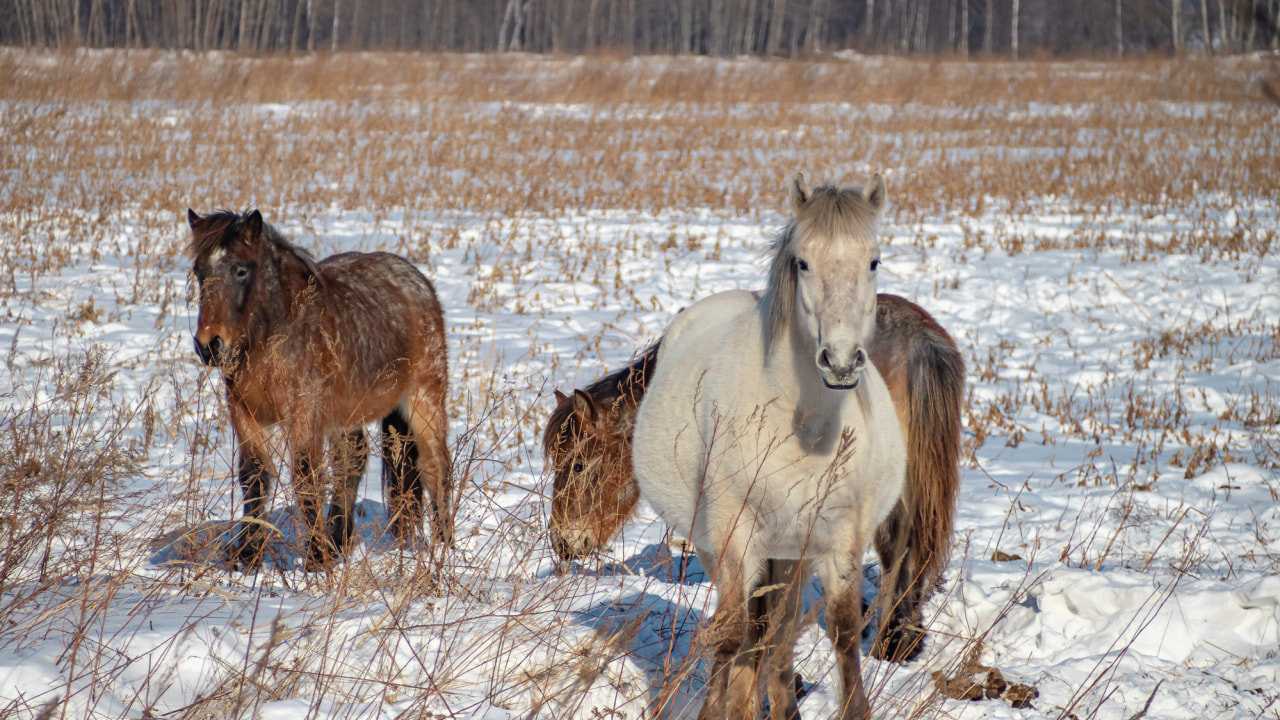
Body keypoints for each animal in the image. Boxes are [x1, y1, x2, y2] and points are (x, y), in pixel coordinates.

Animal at [186, 208, 453, 571]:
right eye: (199, 272)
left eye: (241, 270)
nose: (209, 346)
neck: (274, 338)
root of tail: (418, 282)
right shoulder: (245, 414)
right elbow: (254, 478)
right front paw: (246, 555)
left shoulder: (305, 414)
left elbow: (306, 479)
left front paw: (315, 558)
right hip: (348, 413)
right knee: (352, 461)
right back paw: (341, 541)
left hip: (424, 399)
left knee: (435, 467)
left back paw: (444, 547)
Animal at [634, 170, 906, 712]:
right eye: (803, 262)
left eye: (873, 260)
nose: (840, 361)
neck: (805, 428)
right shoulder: (735, 538)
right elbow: (731, 636)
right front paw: (720, 710)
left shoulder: (839, 539)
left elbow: (842, 633)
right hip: (721, 548)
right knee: (750, 633)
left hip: (791, 553)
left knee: (777, 636)